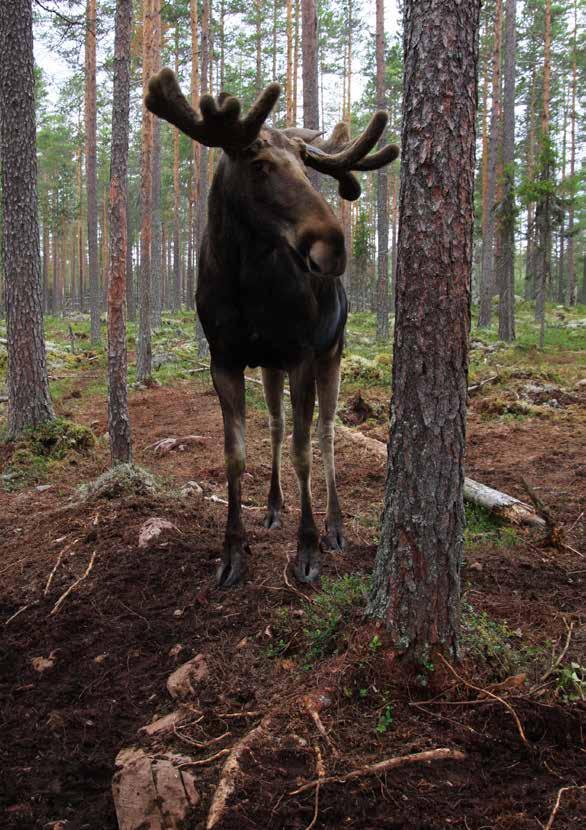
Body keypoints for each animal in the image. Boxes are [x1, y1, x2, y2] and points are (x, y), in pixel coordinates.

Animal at [145, 73, 396, 592]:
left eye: (306, 168)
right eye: (259, 165)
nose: (333, 245)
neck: (244, 284)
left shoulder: (300, 354)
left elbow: (304, 451)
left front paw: (308, 549)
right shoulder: (225, 359)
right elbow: (236, 454)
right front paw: (232, 551)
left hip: (332, 352)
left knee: (325, 432)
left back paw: (335, 525)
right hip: (269, 366)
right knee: (278, 426)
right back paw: (275, 506)